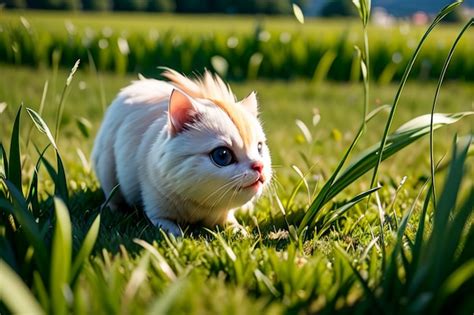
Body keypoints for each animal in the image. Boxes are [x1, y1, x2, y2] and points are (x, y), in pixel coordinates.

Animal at [91, 69, 272, 237]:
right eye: (222, 155)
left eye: (259, 148)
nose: (259, 166)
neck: (200, 205)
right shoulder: (156, 211)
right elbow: (171, 230)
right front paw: (178, 237)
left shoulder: (223, 216)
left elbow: (234, 225)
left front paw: (243, 234)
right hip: (107, 170)